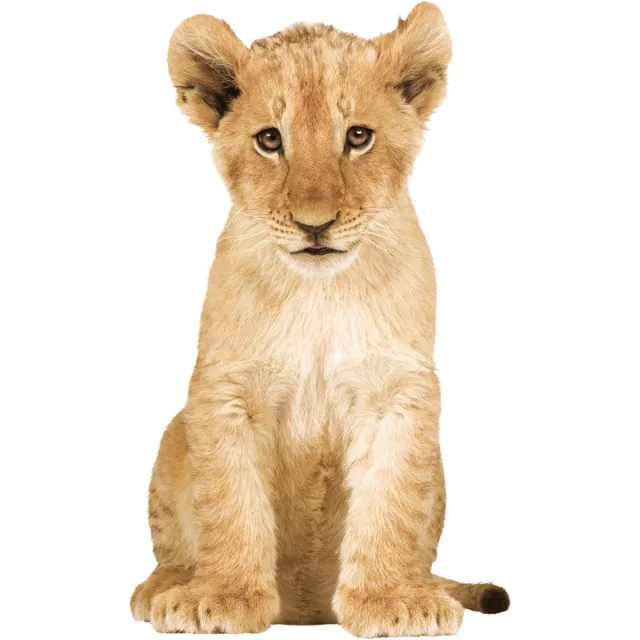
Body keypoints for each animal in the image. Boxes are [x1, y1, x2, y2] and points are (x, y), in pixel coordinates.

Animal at [130, 3, 509, 636]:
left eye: (357, 136)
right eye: (269, 139)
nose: (315, 225)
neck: (319, 294)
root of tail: (305, 611)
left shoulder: (398, 392)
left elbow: (391, 503)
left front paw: (388, 599)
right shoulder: (225, 390)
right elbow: (229, 500)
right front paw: (225, 596)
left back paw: (426, 587)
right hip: (172, 434)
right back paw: (166, 587)